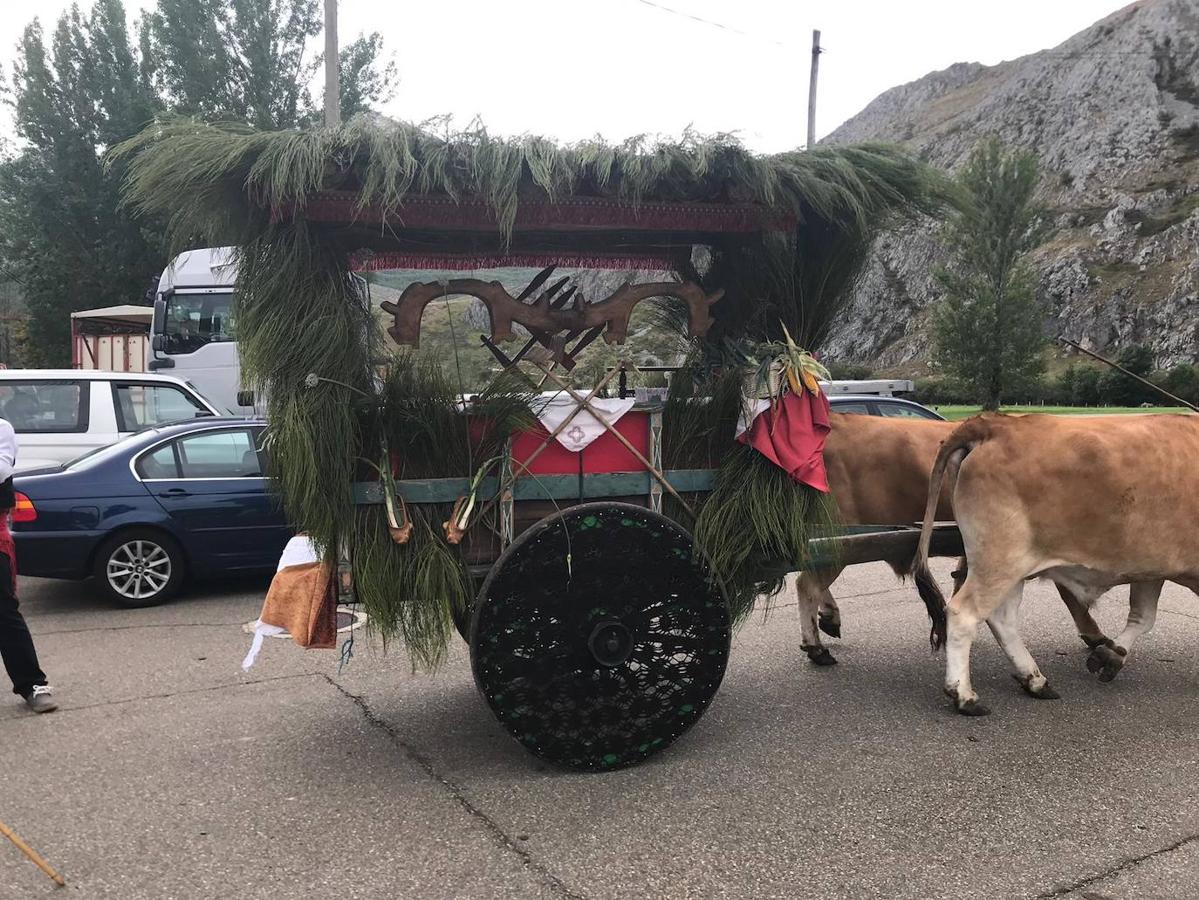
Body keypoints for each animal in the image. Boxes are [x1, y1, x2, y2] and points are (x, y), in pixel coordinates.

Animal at [911, 414, 1194, 719]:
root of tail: (995, 423)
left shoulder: (1152, 568)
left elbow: (1143, 616)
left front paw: (1112, 655)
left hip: (1012, 566)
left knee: (1002, 618)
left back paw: (1034, 680)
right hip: (999, 560)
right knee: (964, 614)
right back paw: (964, 695)